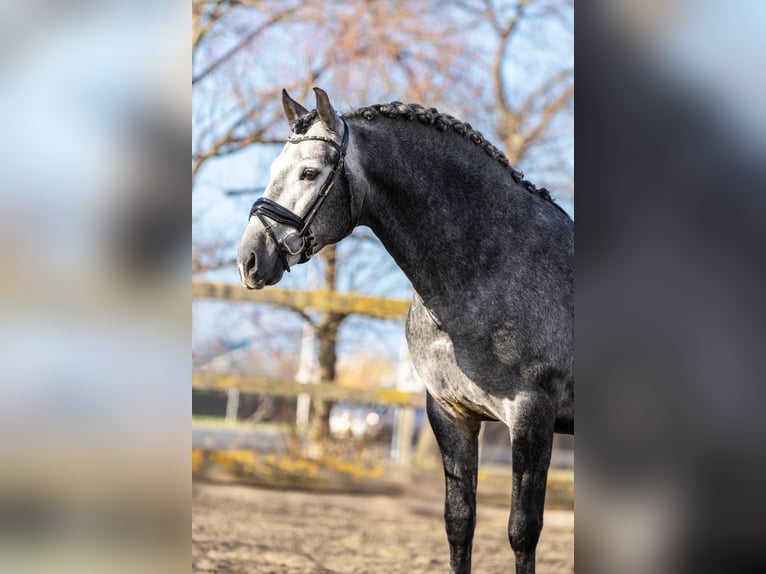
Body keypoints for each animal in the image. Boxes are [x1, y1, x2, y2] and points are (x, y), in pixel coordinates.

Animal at [237, 88, 572, 572]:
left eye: (309, 172)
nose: (249, 259)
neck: (492, 266)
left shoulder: (532, 416)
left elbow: (522, 530)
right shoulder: (451, 414)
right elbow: (459, 522)